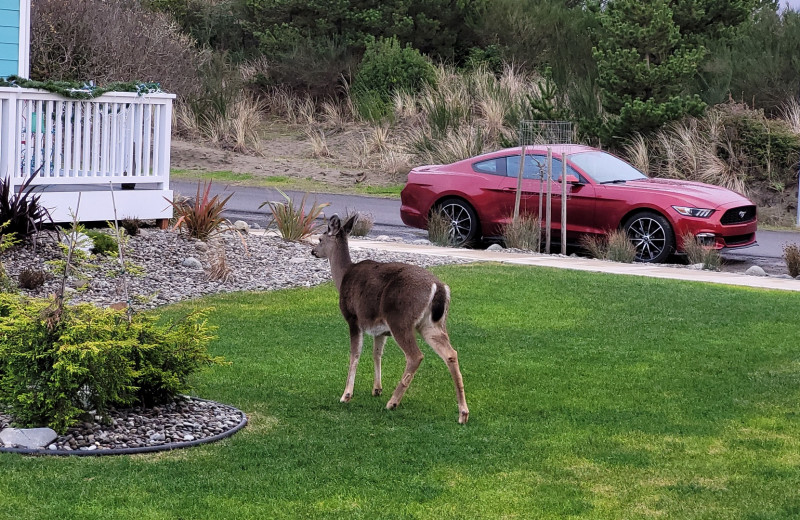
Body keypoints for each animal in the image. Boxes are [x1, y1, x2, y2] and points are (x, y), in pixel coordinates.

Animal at [310, 214, 468, 422]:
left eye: (320, 238)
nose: (313, 251)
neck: (343, 276)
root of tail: (439, 287)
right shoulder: (379, 329)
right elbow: (377, 354)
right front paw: (377, 389)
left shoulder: (354, 318)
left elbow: (355, 354)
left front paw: (346, 395)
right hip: (432, 324)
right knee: (451, 354)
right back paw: (463, 413)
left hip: (401, 319)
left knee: (415, 356)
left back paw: (392, 402)